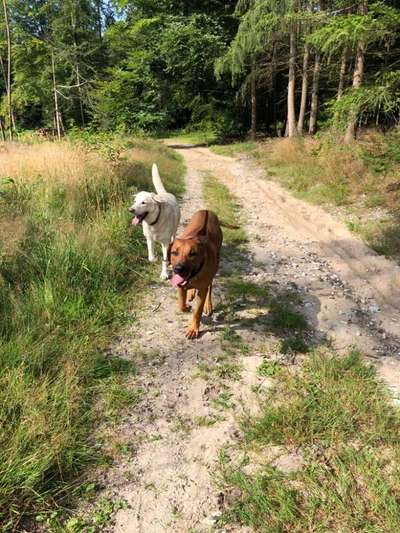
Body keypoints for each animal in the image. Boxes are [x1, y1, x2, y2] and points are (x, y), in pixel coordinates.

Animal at [169, 210, 238, 338]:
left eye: (192, 254)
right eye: (174, 253)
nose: (178, 269)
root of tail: (207, 211)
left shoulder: (202, 289)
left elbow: (197, 311)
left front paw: (193, 329)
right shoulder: (180, 283)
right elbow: (181, 304)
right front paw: (186, 307)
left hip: (214, 266)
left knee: (209, 286)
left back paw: (208, 305)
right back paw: (191, 292)